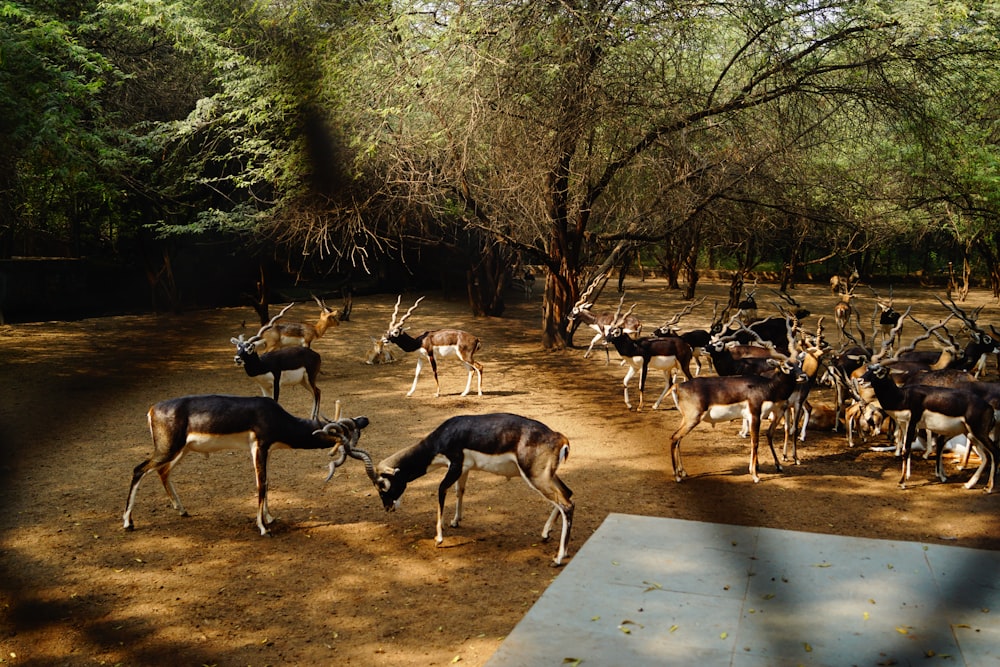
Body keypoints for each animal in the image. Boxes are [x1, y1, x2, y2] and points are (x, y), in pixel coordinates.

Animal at [370, 414, 576, 568]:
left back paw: (558, 558)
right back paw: (546, 534)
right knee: (568, 493)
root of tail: (559, 437)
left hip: (536, 477)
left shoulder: (455, 466)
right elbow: (460, 490)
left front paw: (439, 538)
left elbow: (441, 490)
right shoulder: (464, 469)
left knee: (566, 504)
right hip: (547, 476)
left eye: (383, 485)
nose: (387, 508)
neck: (444, 436)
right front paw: (455, 521)